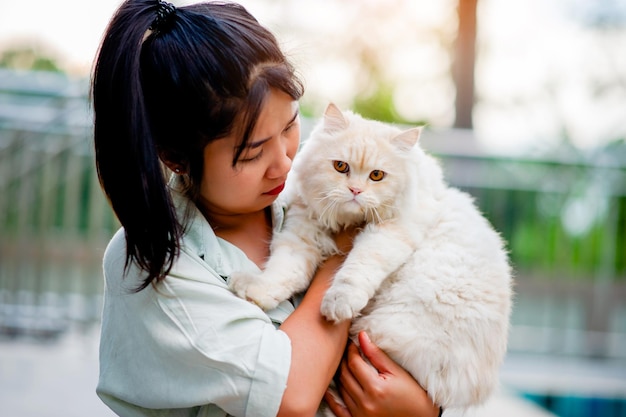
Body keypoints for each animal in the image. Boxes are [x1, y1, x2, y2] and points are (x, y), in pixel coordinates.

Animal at [229, 103, 512, 410]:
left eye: (377, 176)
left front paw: (337, 304)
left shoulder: (390, 231)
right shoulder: (300, 235)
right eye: (341, 167)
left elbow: (356, 269)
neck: (345, 221)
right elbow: (281, 273)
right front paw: (254, 290)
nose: (355, 191)